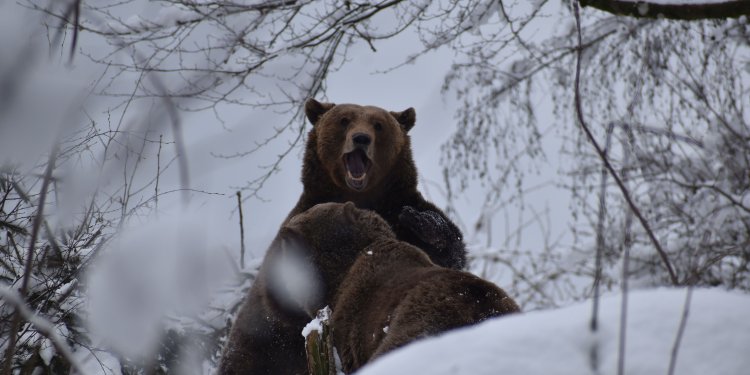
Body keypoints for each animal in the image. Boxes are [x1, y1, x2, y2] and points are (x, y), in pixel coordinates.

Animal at [219, 100, 470, 375]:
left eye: (378, 125)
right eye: (344, 120)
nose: (361, 138)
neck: (361, 195)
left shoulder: (399, 210)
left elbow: (448, 249)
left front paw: (423, 223)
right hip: (258, 353)